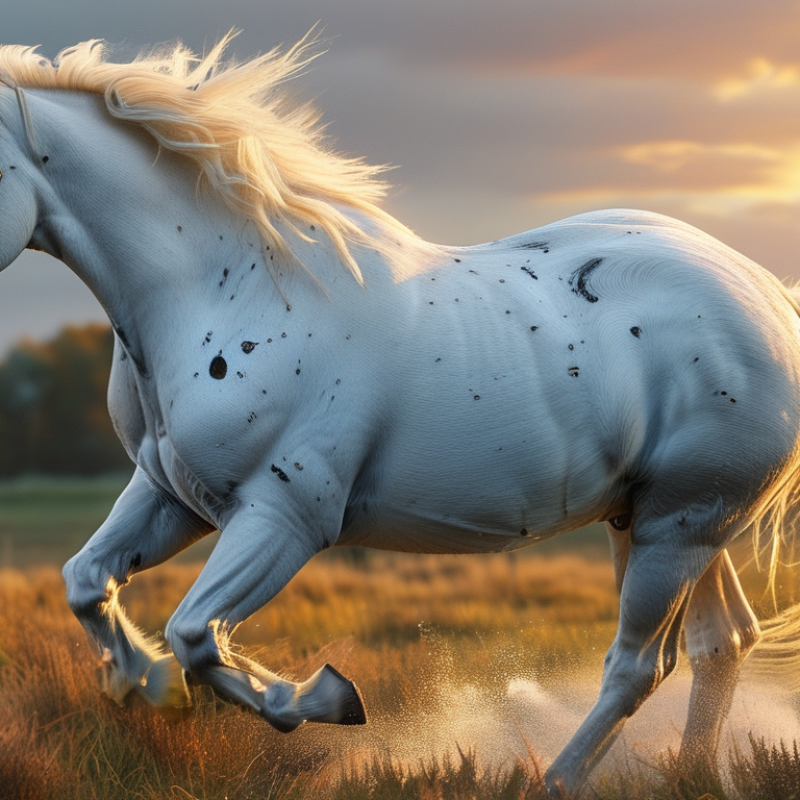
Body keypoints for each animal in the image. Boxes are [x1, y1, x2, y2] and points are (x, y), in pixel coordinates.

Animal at [1, 34, 800, 796]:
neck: (229, 290)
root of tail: (769, 297)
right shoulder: (171, 496)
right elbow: (87, 583)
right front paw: (148, 684)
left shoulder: (283, 519)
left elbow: (199, 633)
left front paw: (329, 699)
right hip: (661, 522)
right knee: (720, 642)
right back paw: (690, 775)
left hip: (678, 527)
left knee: (640, 663)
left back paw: (555, 780)